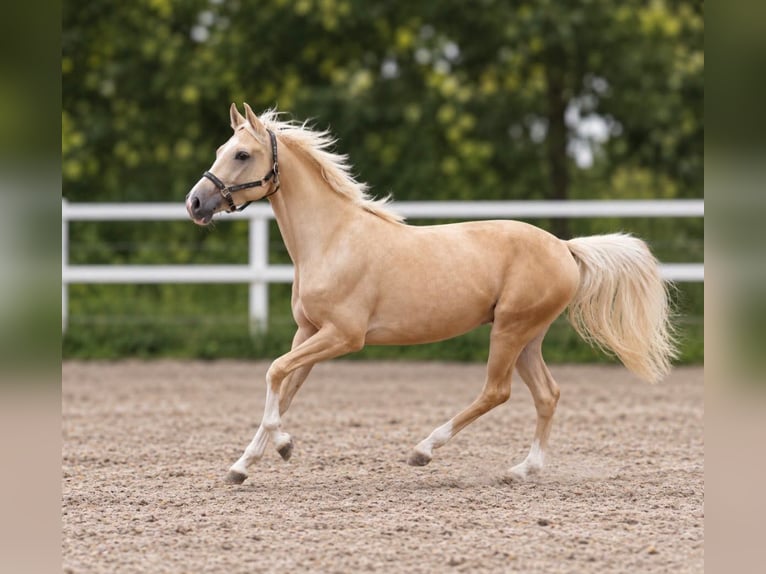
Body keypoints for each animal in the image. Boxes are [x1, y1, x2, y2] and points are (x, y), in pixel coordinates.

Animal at [185, 103, 677, 485]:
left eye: (242, 154)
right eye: (220, 151)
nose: (195, 203)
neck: (333, 239)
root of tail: (565, 248)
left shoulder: (344, 336)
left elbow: (273, 372)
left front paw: (282, 445)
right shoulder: (308, 332)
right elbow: (284, 386)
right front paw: (242, 465)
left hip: (511, 330)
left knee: (496, 391)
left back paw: (423, 450)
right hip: (527, 336)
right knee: (547, 394)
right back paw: (522, 470)